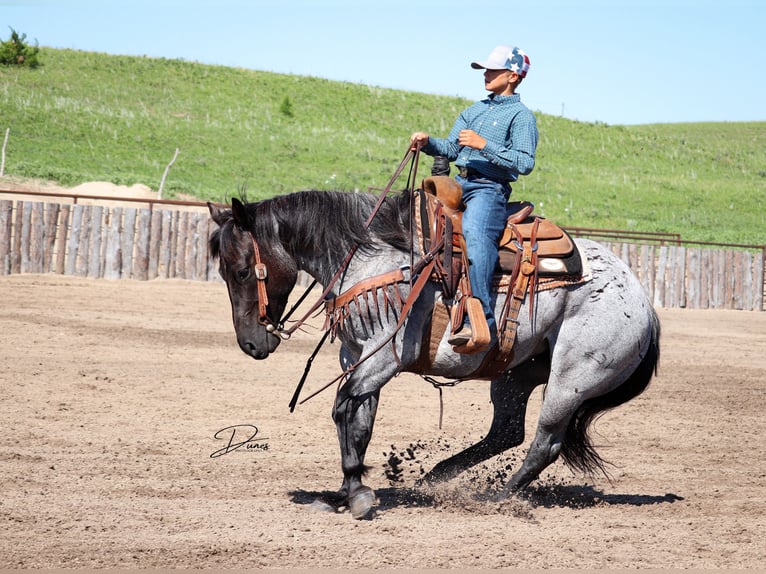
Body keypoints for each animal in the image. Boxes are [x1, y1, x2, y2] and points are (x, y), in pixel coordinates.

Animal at [207, 186, 664, 520]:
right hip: (516, 373)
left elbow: (342, 408)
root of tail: (643, 300)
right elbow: (358, 421)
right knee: (506, 432)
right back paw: (438, 476)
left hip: (571, 380)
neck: (373, 258)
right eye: (223, 272)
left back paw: (495, 499)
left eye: (243, 270)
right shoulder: (355, 357)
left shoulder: (384, 357)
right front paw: (344, 491)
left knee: (544, 443)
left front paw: (356, 489)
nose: (251, 344)